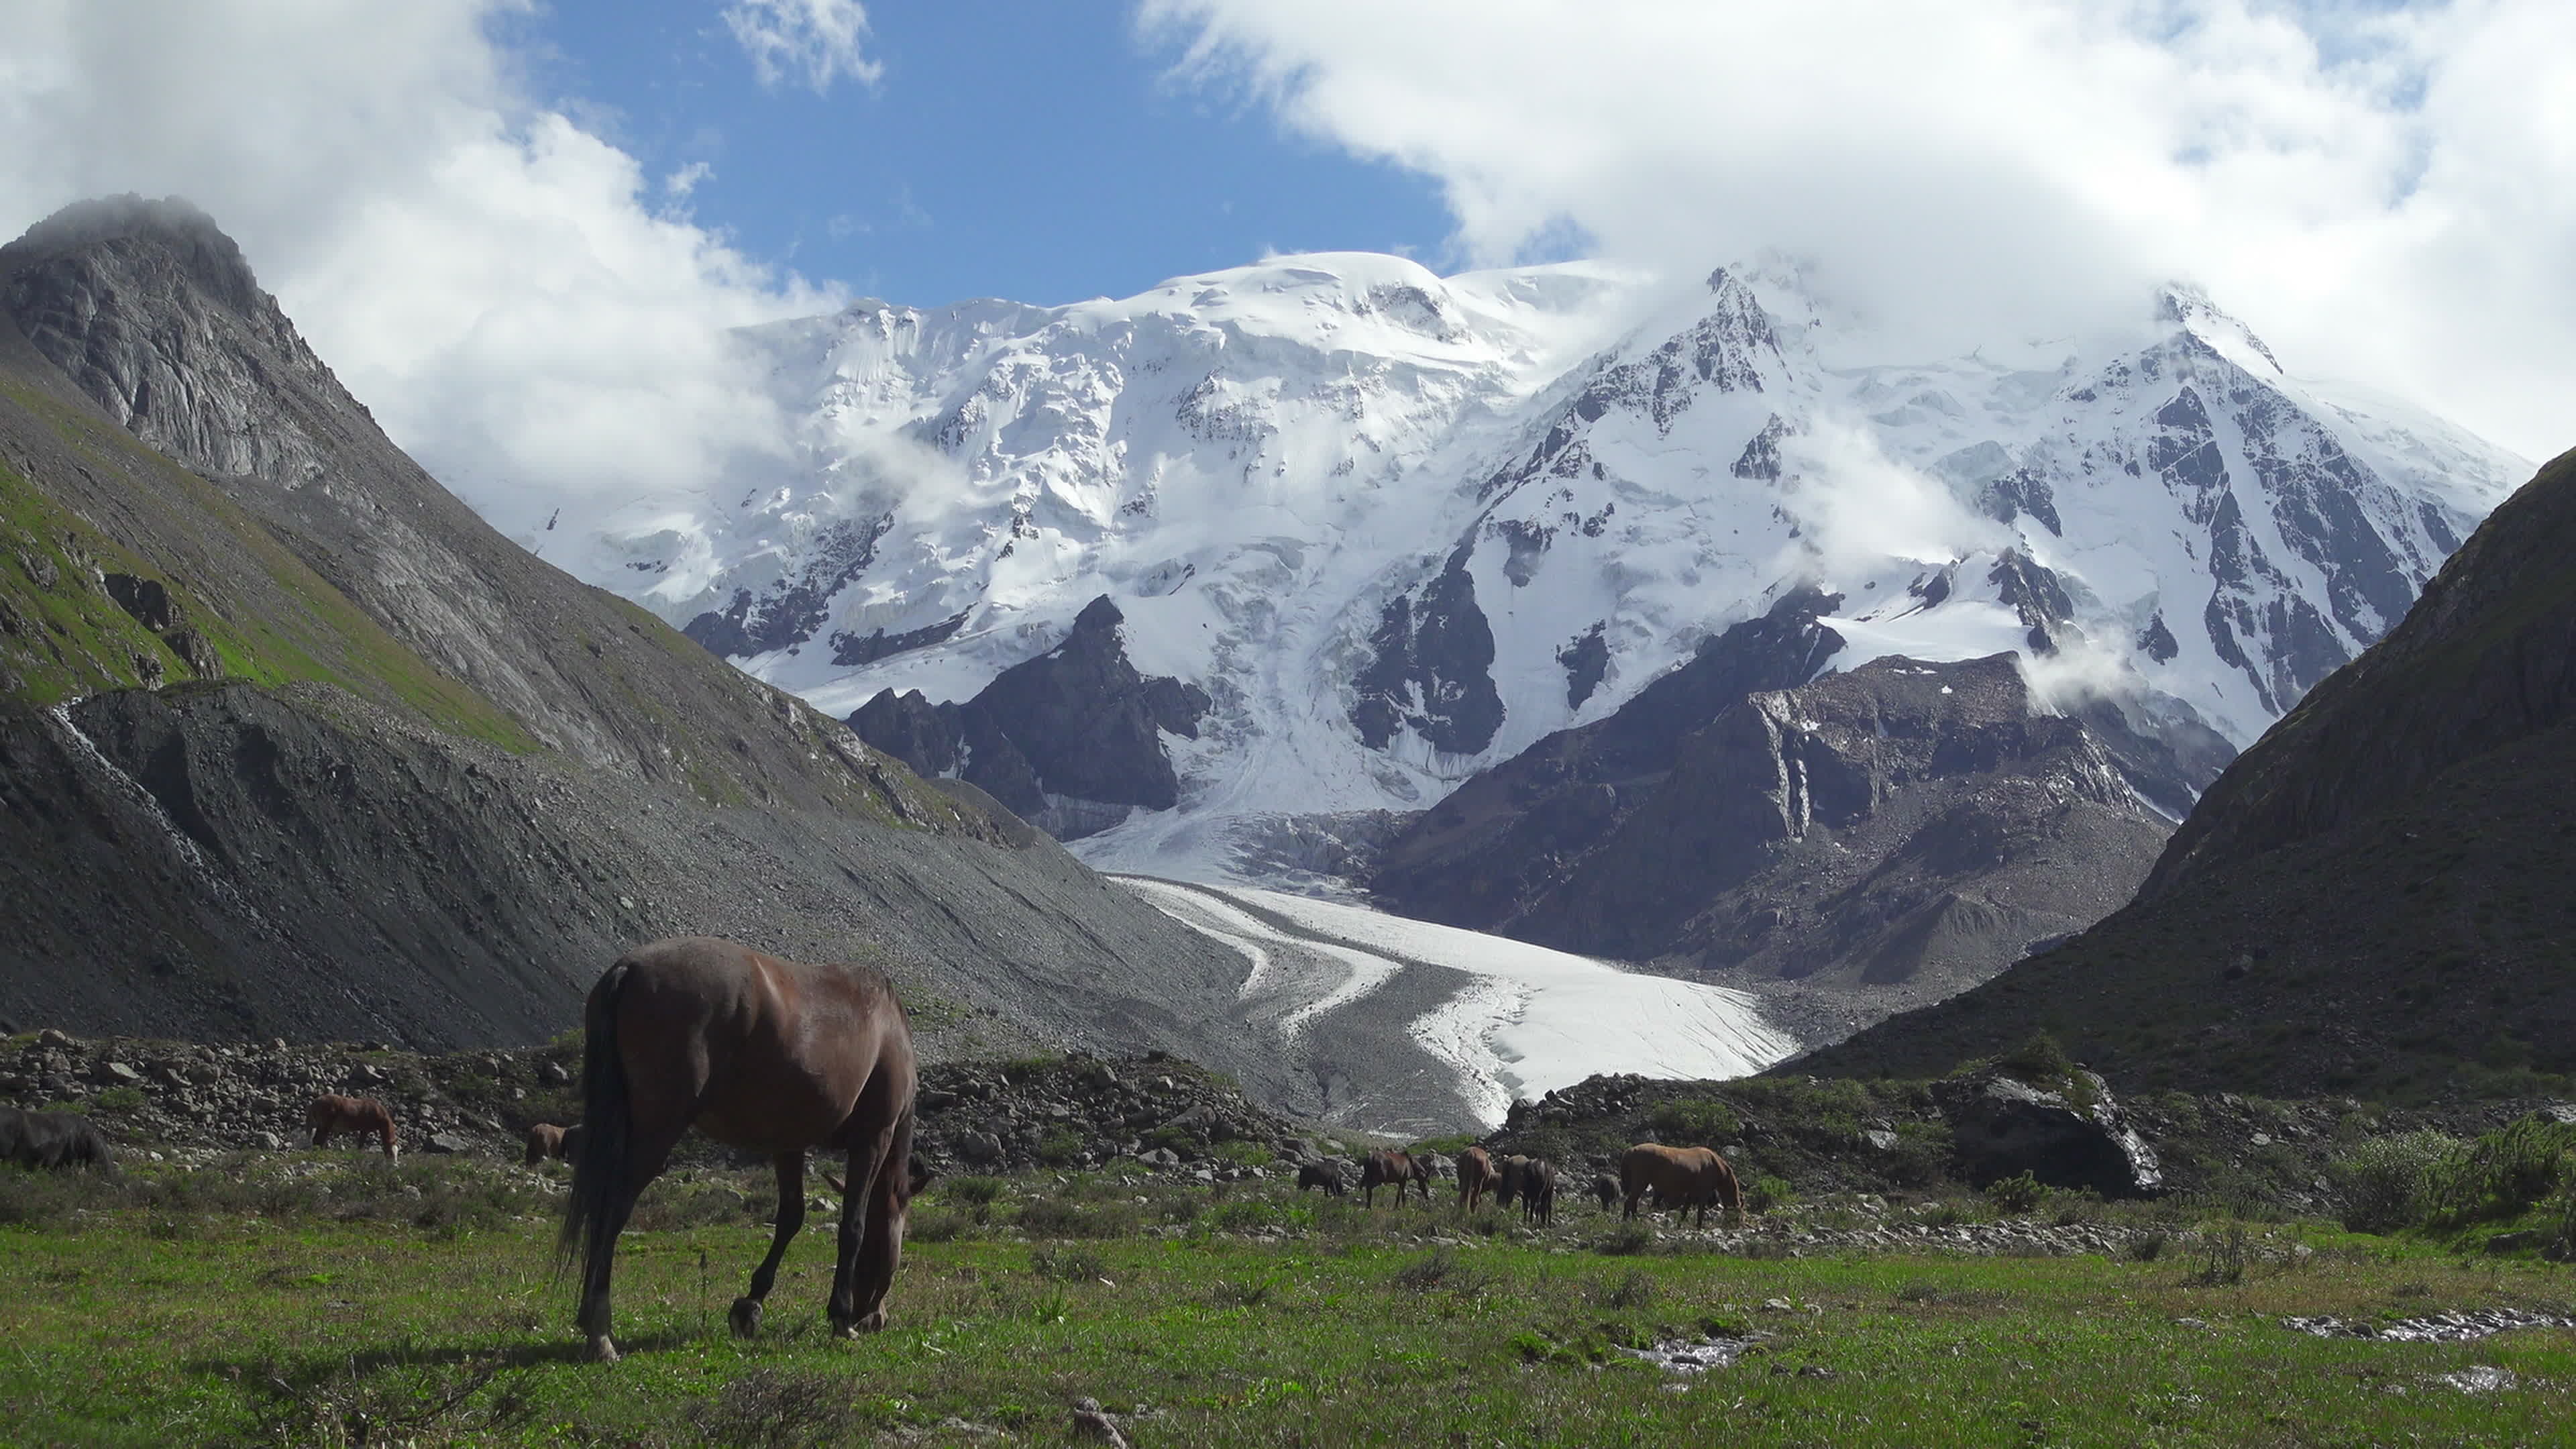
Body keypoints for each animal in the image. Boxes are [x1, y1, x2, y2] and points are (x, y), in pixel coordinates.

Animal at [306, 1087, 396, 1155]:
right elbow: (361, 1145)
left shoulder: (364, 1130)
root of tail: (316, 1101)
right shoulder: (365, 1130)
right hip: (325, 1126)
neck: (378, 1112)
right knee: (319, 1140)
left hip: (320, 1126)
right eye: (391, 1153)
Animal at [559, 928, 922, 1361]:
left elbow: (791, 1218)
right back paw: (600, 1331)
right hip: (657, 1132)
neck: (887, 1028)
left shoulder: (789, 1145)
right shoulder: (872, 1142)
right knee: (613, 1211)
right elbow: (853, 1227)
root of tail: (629, 969)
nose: (875, 1319)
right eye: (896, 1248)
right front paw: (840, 1316)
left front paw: (750, 1306)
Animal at [1617, 1144, 1741, 1222]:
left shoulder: (1692, 1193)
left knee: (1633, 1202)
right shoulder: (1703, 1193)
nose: (1737, 1224)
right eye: (1738, 1215)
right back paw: (1626, 1221)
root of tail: (1630, 1151)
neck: (1715, 1165)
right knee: (1629, 1202)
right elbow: (1700, 1213)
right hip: (1641, 1182)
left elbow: (1685, 1211)